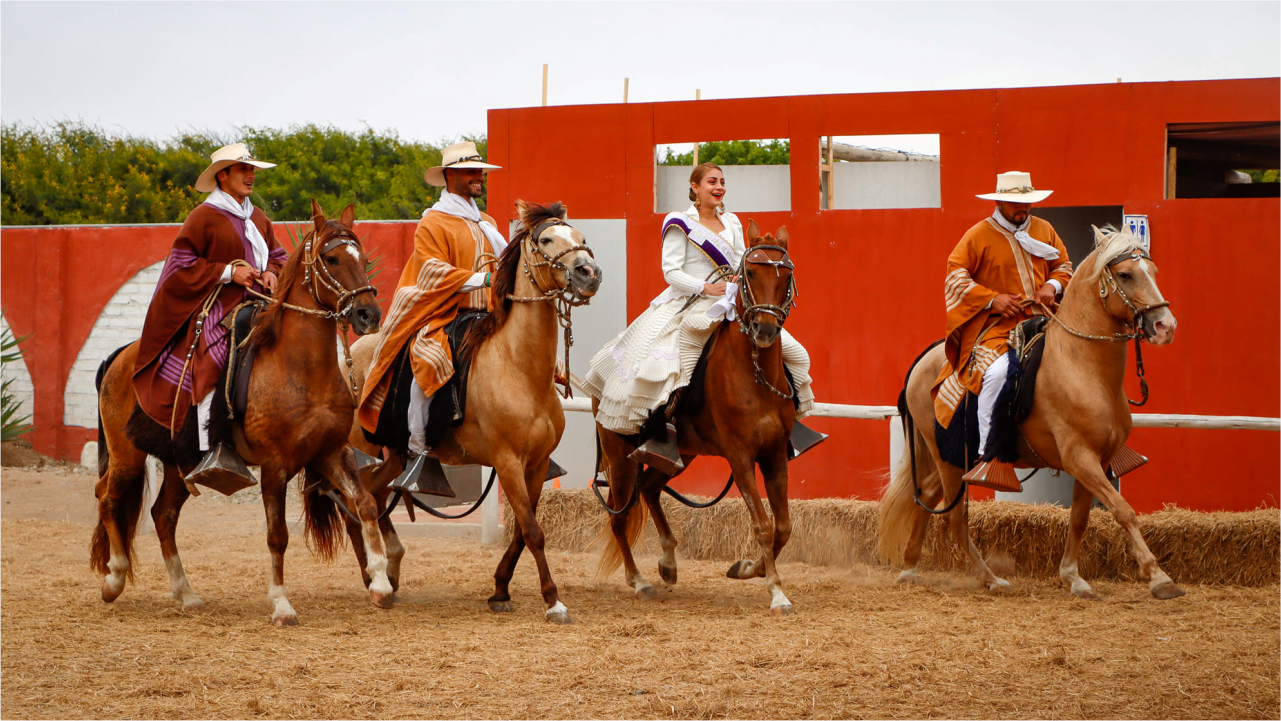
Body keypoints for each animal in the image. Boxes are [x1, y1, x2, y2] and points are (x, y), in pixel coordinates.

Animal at [93, 202, 386, 627]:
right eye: (331, 259)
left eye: (362, 259)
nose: (368, 314)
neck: (300, 368)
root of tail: (121, 356)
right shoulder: (276, 466)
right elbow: (277, 534)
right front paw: (281, 604)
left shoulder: (332, 453)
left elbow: (365, 504)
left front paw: (381, 582)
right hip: (126, 455)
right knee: (108, 498)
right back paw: (114, 579)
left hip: (181, 462)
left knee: (163, 515)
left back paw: (186, 594)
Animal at [335, 199, 604, 622]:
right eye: (546, 239)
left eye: (580, 236)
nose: (588, 273)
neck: (518, 365)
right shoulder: (508, 462)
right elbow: (533, 530)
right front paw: (553, 600)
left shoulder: (537, 464)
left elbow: (521, 531)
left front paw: (500, 589)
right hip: (361, 451)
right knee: (355, 505)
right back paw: (374, 579)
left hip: (393, 458)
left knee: (374, 501)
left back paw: (389, 569)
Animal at [589, 220, 799, 614]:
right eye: (750, 273)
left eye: (787, 275)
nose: (764, 330)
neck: (755, 374)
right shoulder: (740, 457)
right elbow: (763, 524)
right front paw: (776, 592)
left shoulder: (775, 454)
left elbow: (783, 526)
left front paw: (749, 569)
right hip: (620, 457)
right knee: (619, 517)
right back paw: (639, 582)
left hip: (679, 454)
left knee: (649, 488)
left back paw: (668, 563)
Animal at [876, 227, 1183, 601]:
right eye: (1125, 274)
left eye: (1152, 271)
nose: (1165, 325)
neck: (1082, 366)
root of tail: (923, 360)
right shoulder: (1080, 458)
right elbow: (1123, 510)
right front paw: (1159, 577)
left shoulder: (1098, 458)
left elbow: (1080, 518)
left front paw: (1073, 577)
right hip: (947, 459)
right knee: (954, 518)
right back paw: (990, 578)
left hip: (949, 461)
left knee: (930, 497)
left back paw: (909, 567)